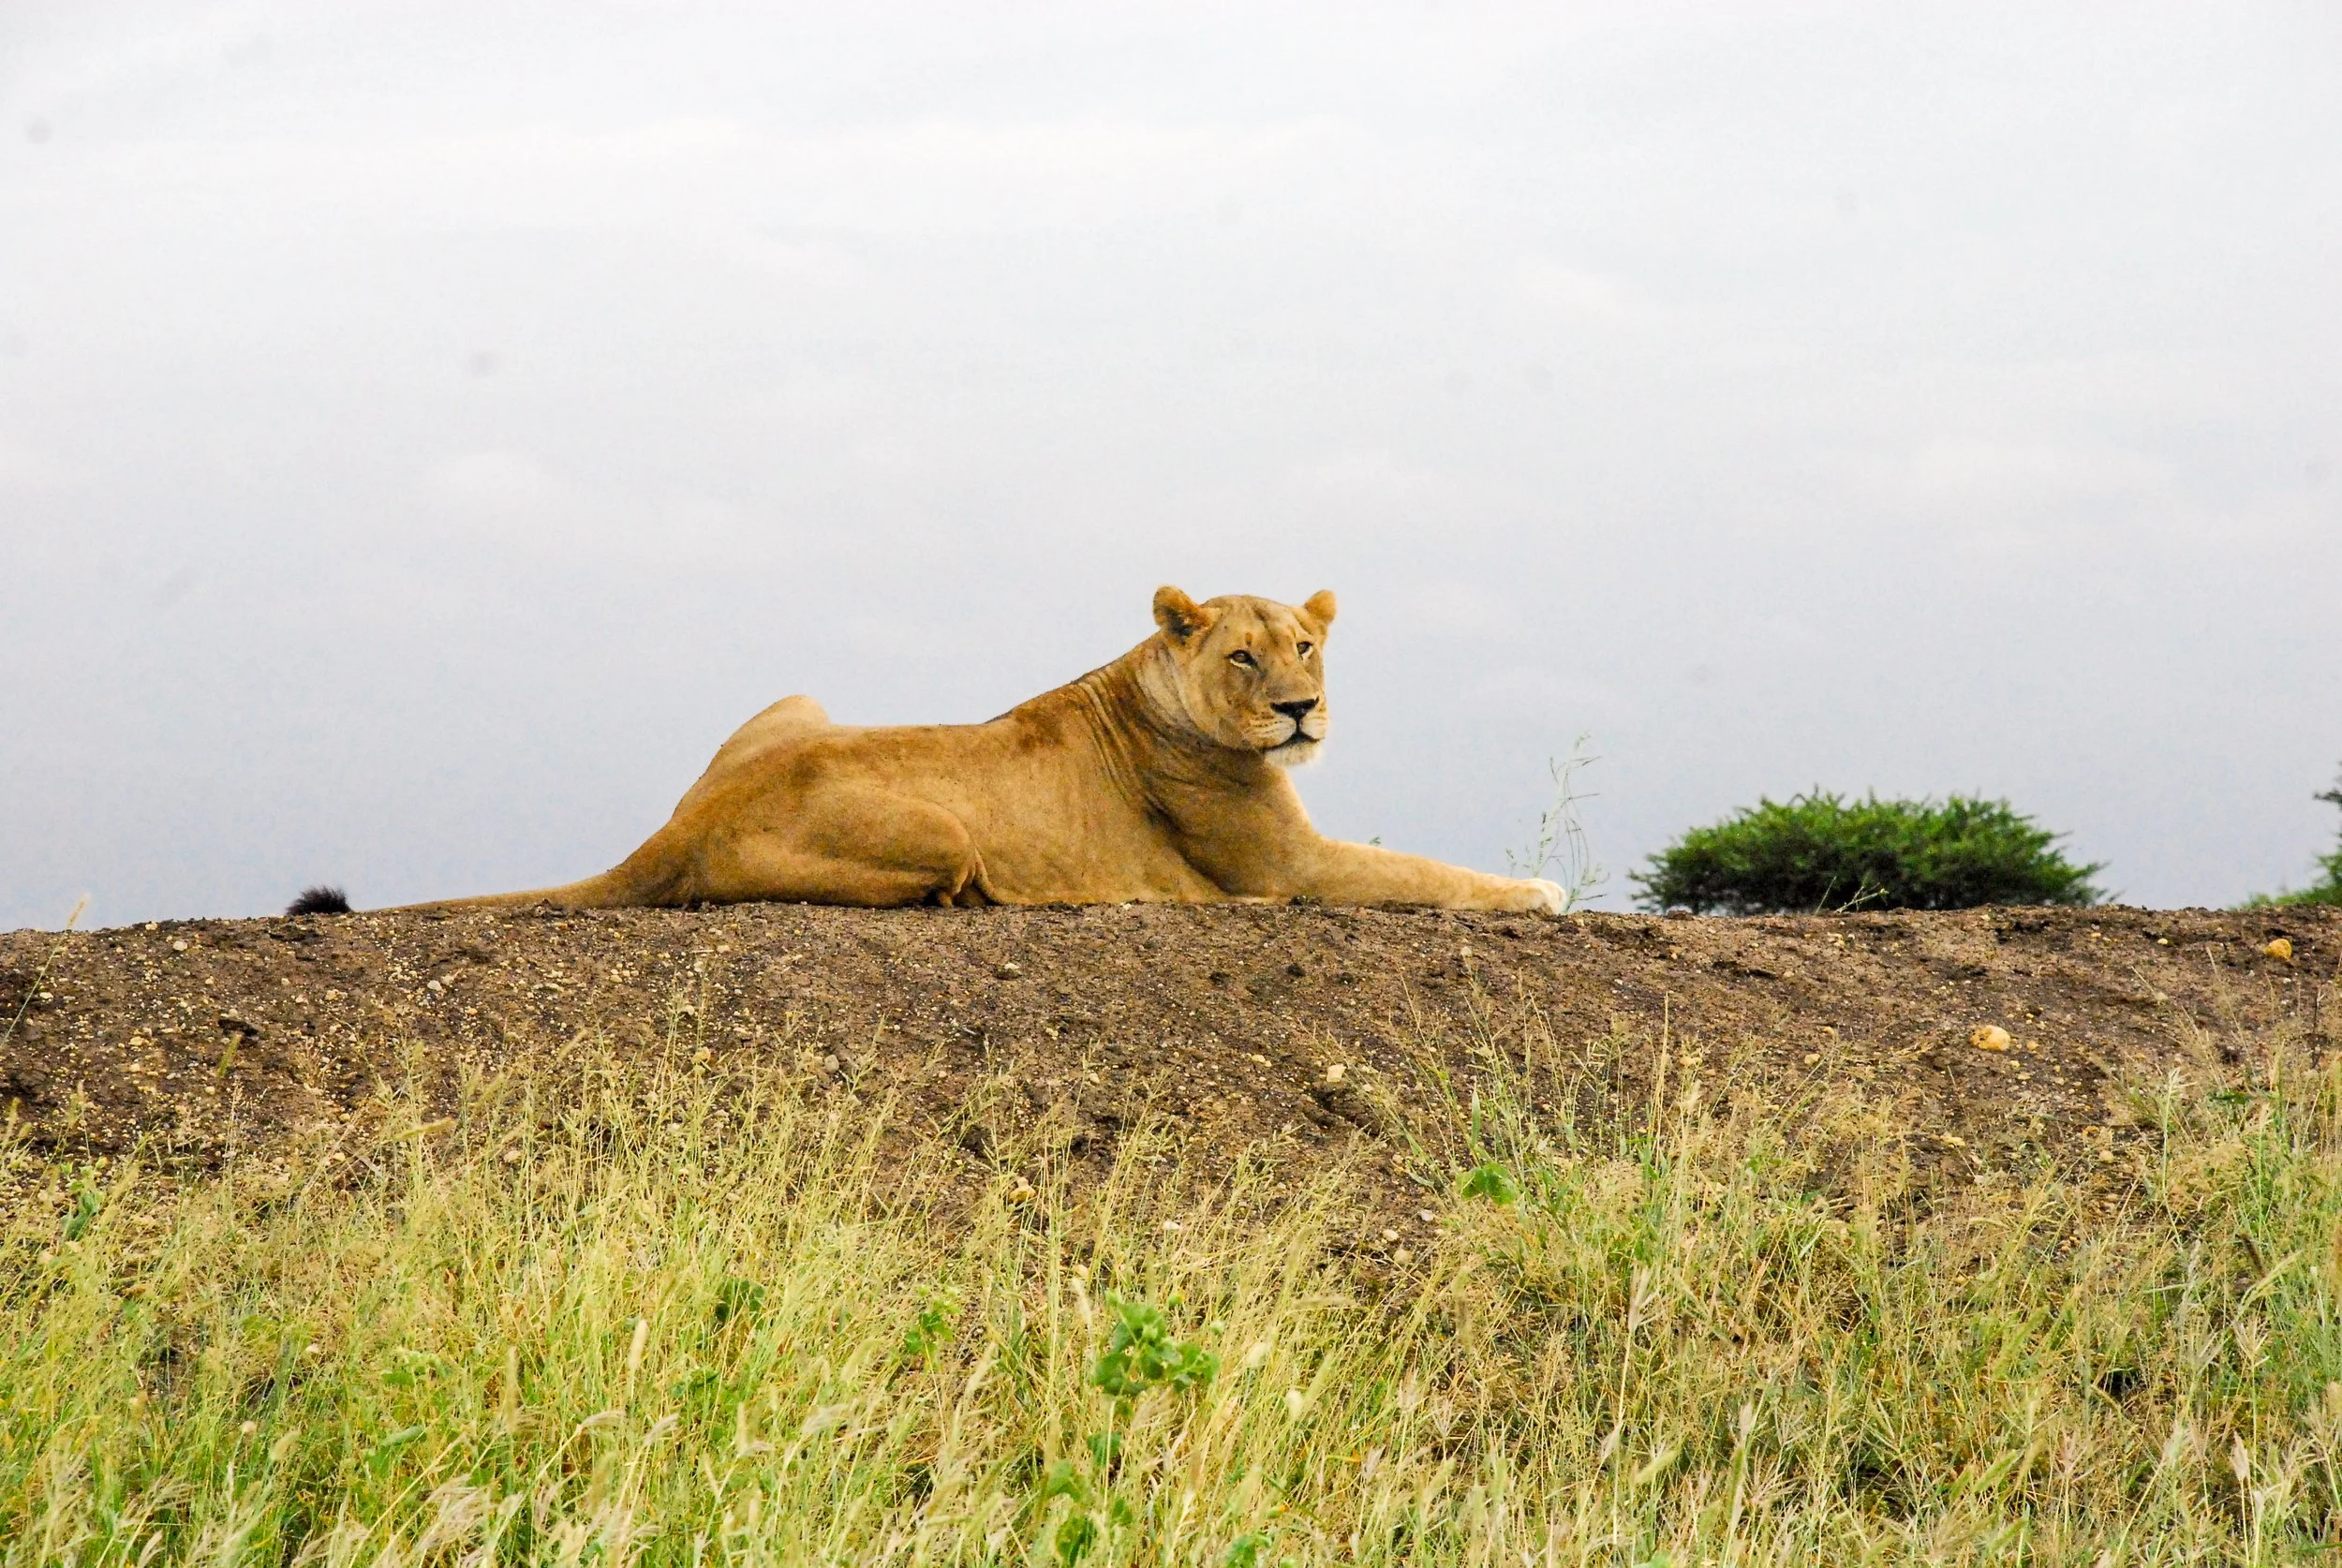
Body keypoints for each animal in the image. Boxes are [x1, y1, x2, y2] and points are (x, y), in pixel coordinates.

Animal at [298, 587, 1565, 916]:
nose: (1303, 710)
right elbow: (1429, 876)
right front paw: (1542, 892)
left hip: (797, 693)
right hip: (946, 827)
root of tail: (679, 826)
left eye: (1306, 647)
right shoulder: (1284, 868)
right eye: (1244, 659)